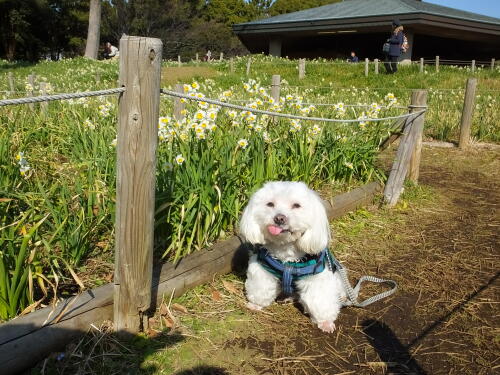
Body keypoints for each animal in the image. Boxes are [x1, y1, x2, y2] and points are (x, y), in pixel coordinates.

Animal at [240, 181, 346, 332]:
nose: (279, 218)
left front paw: (325, 322)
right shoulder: (263, 268)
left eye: (296, 205)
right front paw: (256, 304)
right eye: (270, 204)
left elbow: (320, 299)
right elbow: (261, 287)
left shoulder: (317, 277)